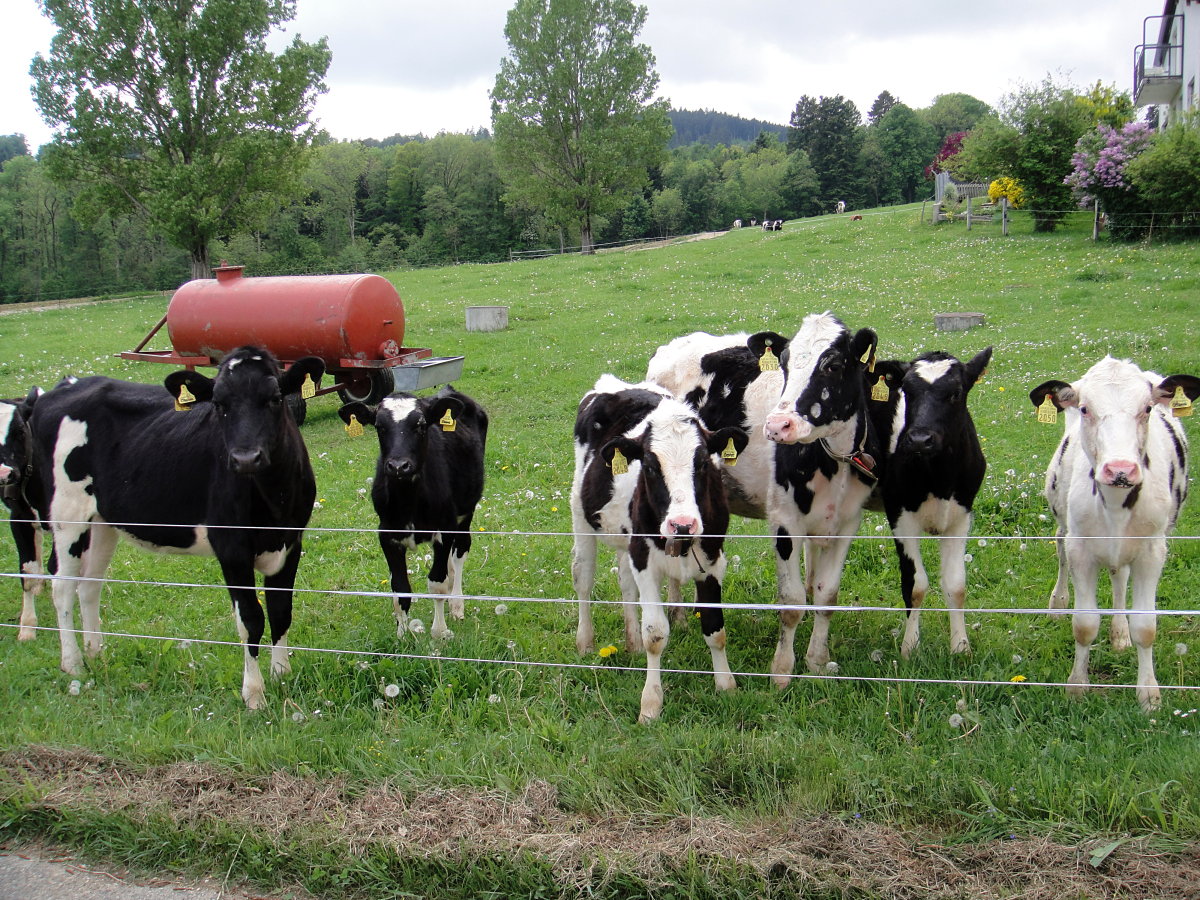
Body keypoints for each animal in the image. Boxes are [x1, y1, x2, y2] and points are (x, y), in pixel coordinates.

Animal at [29, 347, 324, 710]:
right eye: (219, 404)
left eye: (275, 398)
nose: (245, 459)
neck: (274, 501)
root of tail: (65, 385)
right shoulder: (231, 548)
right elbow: (250, 619)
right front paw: (254, 694)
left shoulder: (292, 541)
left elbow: (281, 610)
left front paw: (281, 675)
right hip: (66, 514)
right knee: (62, 586)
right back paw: (72, 663)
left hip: (101, 522)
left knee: (90, 584)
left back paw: (96, 653)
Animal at [338, 387, 488, 640]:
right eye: (379, 426)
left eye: (420, 425)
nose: (399, 466)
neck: (409, 501)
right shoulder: (387, 534)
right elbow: (400, 589)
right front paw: (402, 636)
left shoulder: (444, 529)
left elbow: (437, 583)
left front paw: (439, 632)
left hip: (466, 512)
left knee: (460, 552)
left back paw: (457, 603)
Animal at [570, 375, 748, 722]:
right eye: (651, 466)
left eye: (703, 463)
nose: (683, 524)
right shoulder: (645, 560)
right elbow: (655, 634)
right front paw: (650, 704)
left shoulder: (713, 559)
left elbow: (715, 629)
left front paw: (726, 685)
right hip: (580, 516)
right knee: (583, 579)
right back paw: (585, 642)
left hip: (627, 540)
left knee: (626, 585)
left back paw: (631, 642)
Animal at [872, 349, 992, 658]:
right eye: (907, 391)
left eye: (956, 393)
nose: (919, 439)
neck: (939, 480)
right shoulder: (900, 516)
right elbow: (915, 585)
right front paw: (909, 647)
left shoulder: (961, 517)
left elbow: (956, 585)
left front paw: (961, 647)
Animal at [1030, 358, 1200, 711]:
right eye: (1084, 408)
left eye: (1147, 408)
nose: (1120, 469)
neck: (1116, 505)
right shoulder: (1081, 548)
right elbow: (1084, 624)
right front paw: (1076, 686)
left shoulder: (1152, 551)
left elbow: (1145, 627)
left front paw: (1149, 694)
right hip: (1063, 521)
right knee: (1061, 553)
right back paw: (1057, 604)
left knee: (1120, 577)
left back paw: (1120, 632)